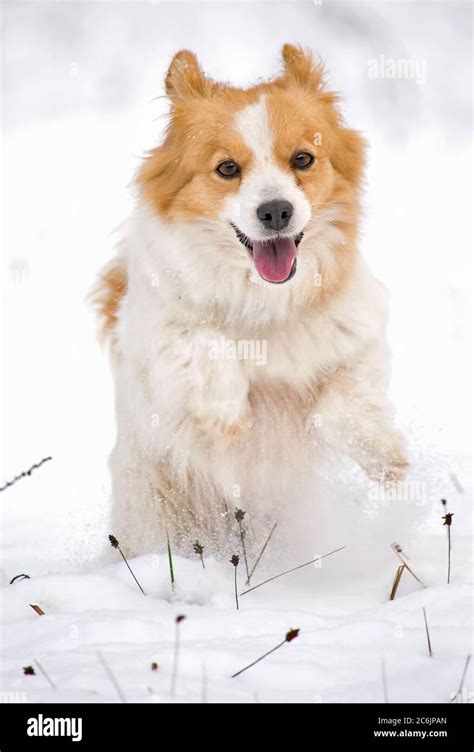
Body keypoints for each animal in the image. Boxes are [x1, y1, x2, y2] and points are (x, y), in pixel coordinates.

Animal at [91, 44, 408, 556]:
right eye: (227, 168)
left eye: (303, 158)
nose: (275, 210)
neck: (265, 302)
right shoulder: (153, 340)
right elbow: (200, 340)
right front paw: (228, 412)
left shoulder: (361, 331)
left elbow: (342, 409)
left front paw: (387, 458)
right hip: (155, 515)